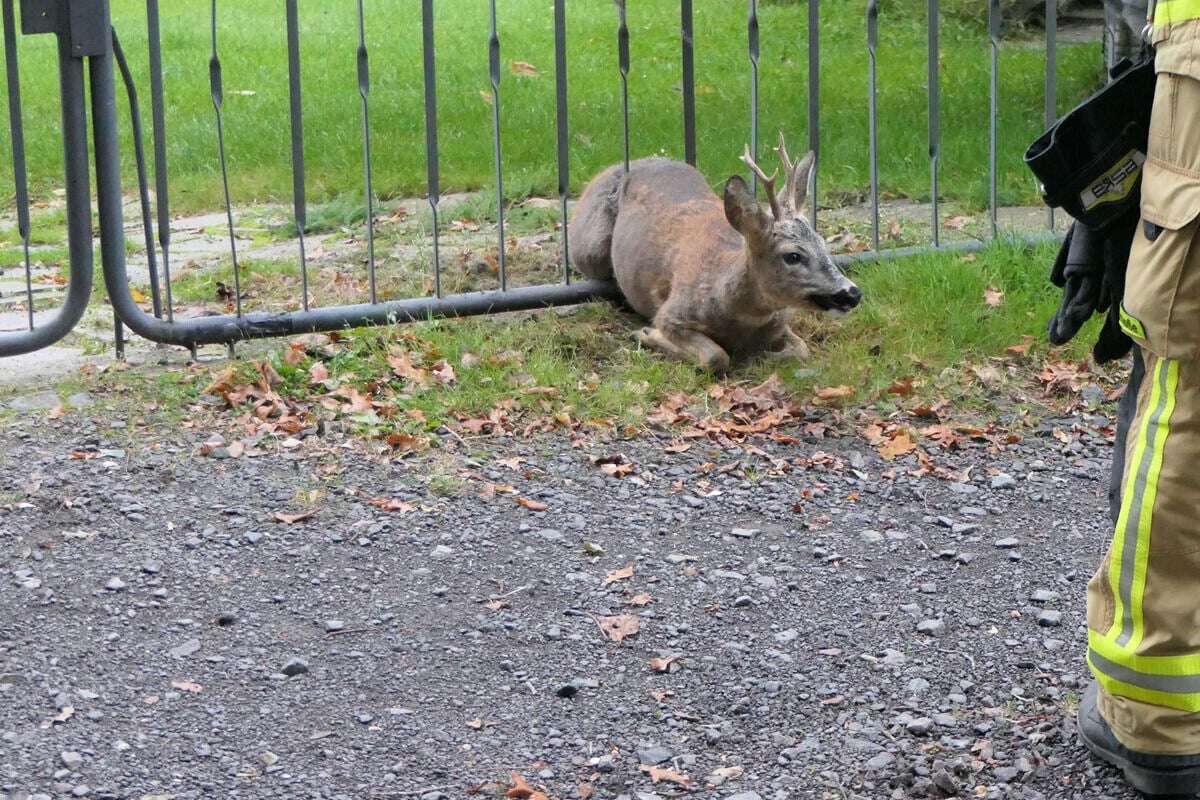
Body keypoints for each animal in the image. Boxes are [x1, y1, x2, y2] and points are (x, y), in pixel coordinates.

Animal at [566, 136, 859, 374]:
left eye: (822, 243)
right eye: (793, 256)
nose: (853, 293)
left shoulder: (780, 322)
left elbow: (801, 351)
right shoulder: (671, 313)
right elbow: (715, 357)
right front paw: (647, 334)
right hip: (589, 249)